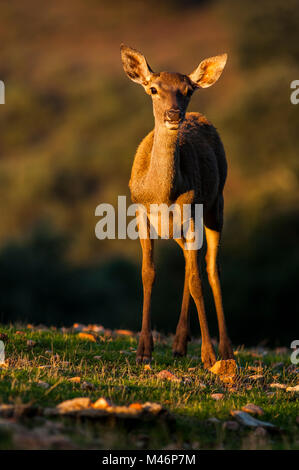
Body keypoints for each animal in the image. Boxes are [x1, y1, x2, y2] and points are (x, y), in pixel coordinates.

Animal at [120, 44, 236, 370]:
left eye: (188, 90)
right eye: (153, 89)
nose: (173, 114)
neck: (163, 193)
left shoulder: (192, 208)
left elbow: (198, 279)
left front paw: (208, 355)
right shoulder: (140, 211)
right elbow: (148, 272)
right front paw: (143, 350)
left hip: (216, 204)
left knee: (211, 267)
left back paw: (225, 350)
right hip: (178, 229)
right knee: (189, 262)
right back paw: (179, 343)